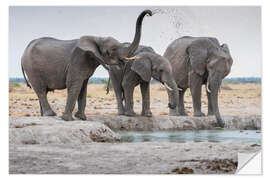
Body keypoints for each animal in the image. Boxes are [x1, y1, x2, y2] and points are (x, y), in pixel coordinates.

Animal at [21, 9, 152, 121]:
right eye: (113, 50)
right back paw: (51, 115)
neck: (97, 38)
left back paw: (44, 115)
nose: (150, 13)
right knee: (41, 90)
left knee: (42, 92)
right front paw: (68, 119)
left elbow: (83, 87)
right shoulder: (77, 60)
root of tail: (24, 52)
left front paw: (81, 118)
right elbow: (74, 84)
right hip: (32, 69)